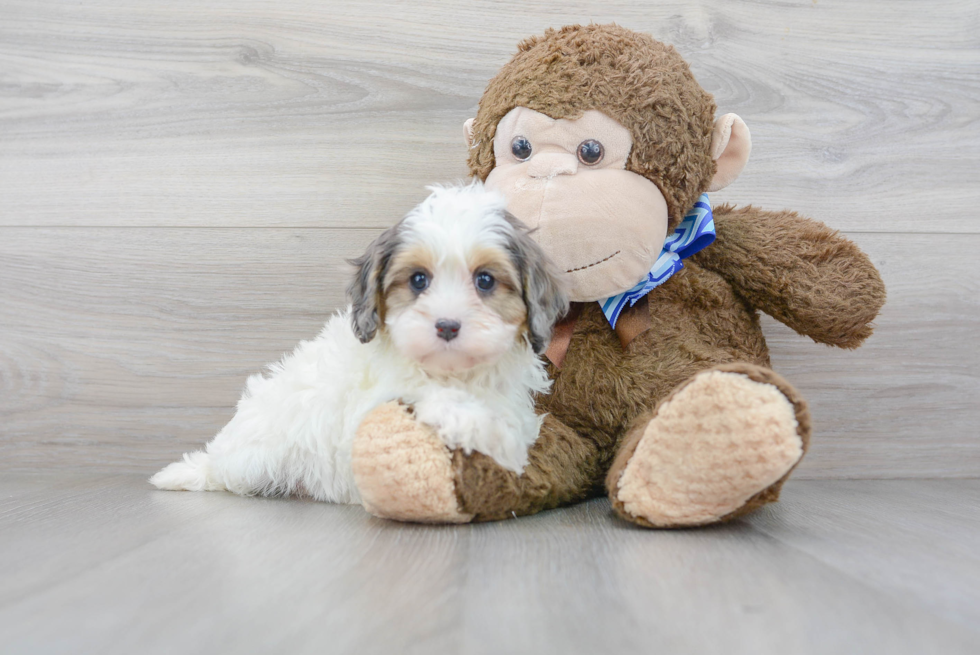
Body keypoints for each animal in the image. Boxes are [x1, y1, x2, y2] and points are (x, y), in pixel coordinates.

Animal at [149, 182, 572, 504]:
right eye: (418, 280)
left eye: (485, 280)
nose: (447, 326)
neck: (455, 375)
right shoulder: (377, 400)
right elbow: (425, 397)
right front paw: (481, 429)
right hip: (256, 457)